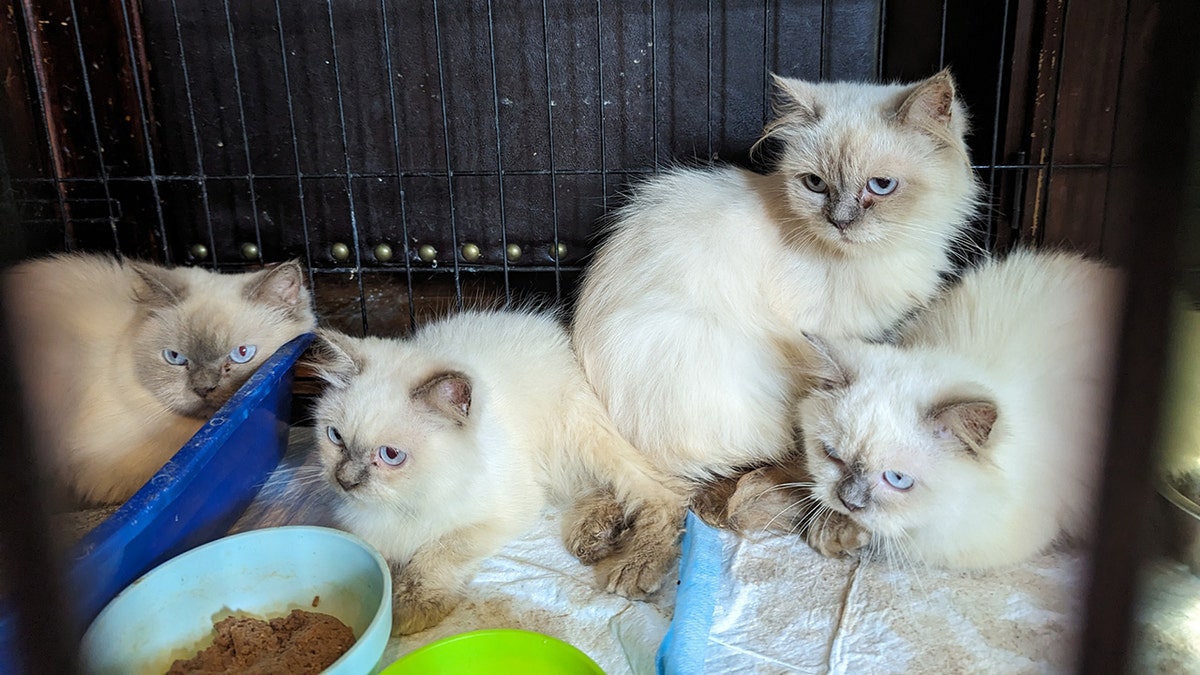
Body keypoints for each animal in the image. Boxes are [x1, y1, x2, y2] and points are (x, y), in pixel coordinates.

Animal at [304, 307, 691, 634]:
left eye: (391, 455)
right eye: (335, 437)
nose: (344, 481)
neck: (407, 500)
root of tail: (561, 337)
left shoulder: (500, 515)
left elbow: (437, 553)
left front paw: (411, 608)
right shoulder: (368, 534)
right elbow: (382, 566)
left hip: (583, 440)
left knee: (665, 495)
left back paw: (632, 565)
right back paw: (594, 536)